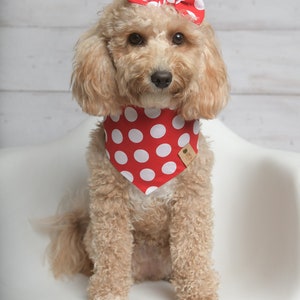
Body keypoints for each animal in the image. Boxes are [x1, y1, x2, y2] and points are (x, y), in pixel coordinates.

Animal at [46, 0, 230, 298]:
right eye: (135, 39)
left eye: (179, 37)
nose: (162, 76)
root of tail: (151, 273)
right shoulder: (110, 203)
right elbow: (112, 251)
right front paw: (108, 291)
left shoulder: (191, 199)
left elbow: (193, 249)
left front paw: (199, 289)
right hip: (97, 236)